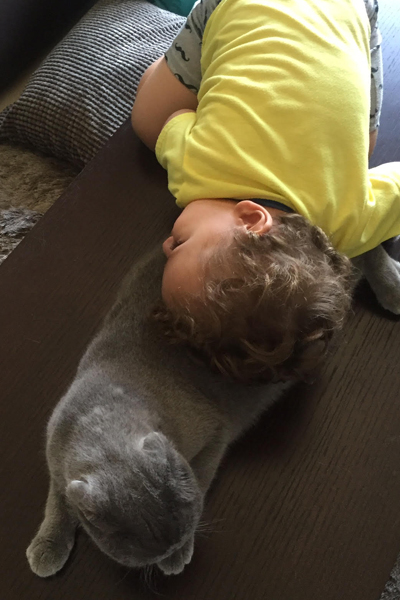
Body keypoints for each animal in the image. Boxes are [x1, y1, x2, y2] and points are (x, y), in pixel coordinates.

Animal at [27, 246, 290, 580]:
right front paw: (48, 545)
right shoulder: (56, 451)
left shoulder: (216, 432)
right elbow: (57, 501)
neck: (101, 428)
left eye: (178, 537)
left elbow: (202, 476)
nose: (174, 549)